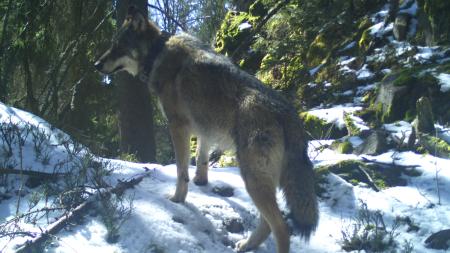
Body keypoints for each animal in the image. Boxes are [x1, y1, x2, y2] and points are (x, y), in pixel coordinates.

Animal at [94, 5, 318, 253]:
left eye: (118, 46)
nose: (96, 65)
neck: (158, 52)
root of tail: (288, 114)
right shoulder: (203, 126)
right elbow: (201, 156)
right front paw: (201, 181)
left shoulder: (178, 126)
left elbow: (181, 171)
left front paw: (177, 199)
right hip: (260, 181)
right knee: (268, 223)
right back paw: (246, 244)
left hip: (252, 177)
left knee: (281, 228)